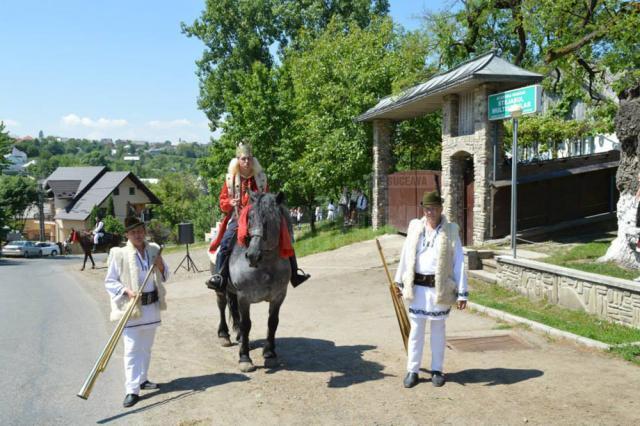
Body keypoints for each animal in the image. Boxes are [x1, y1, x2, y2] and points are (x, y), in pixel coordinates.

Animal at [221, 191, 288, 372]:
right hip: (221, 290)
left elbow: (273, 322)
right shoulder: (244, 297)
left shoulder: (279, 296)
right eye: (249, 217)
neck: (266, 265)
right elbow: (246, 324)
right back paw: (224, 335)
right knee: (221, 307)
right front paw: (245, 358)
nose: (252, 255)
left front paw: (270, 353)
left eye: (269, 219)